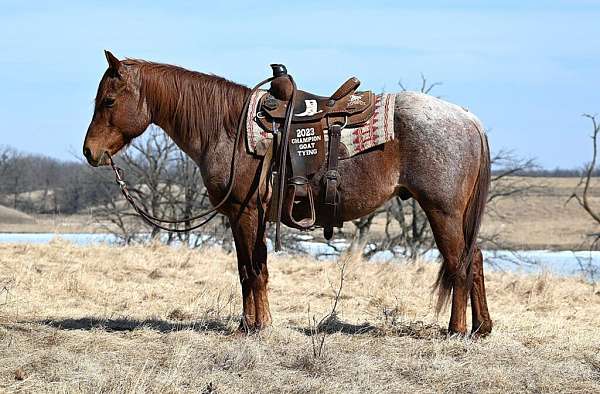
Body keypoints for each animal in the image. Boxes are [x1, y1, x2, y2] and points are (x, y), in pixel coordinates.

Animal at [81, 50, 492, 338]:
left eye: (109, 101)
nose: (89, 152)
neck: (228, 129)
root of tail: (468, 118)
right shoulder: (250, 215)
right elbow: (253, 267)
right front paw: (255, 323)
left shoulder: (244, 212)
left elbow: (250, 269)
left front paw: (253, 327)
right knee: (474, 260)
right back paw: (480, 329)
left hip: (443, 211)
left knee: (459, 263)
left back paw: (456, 331)